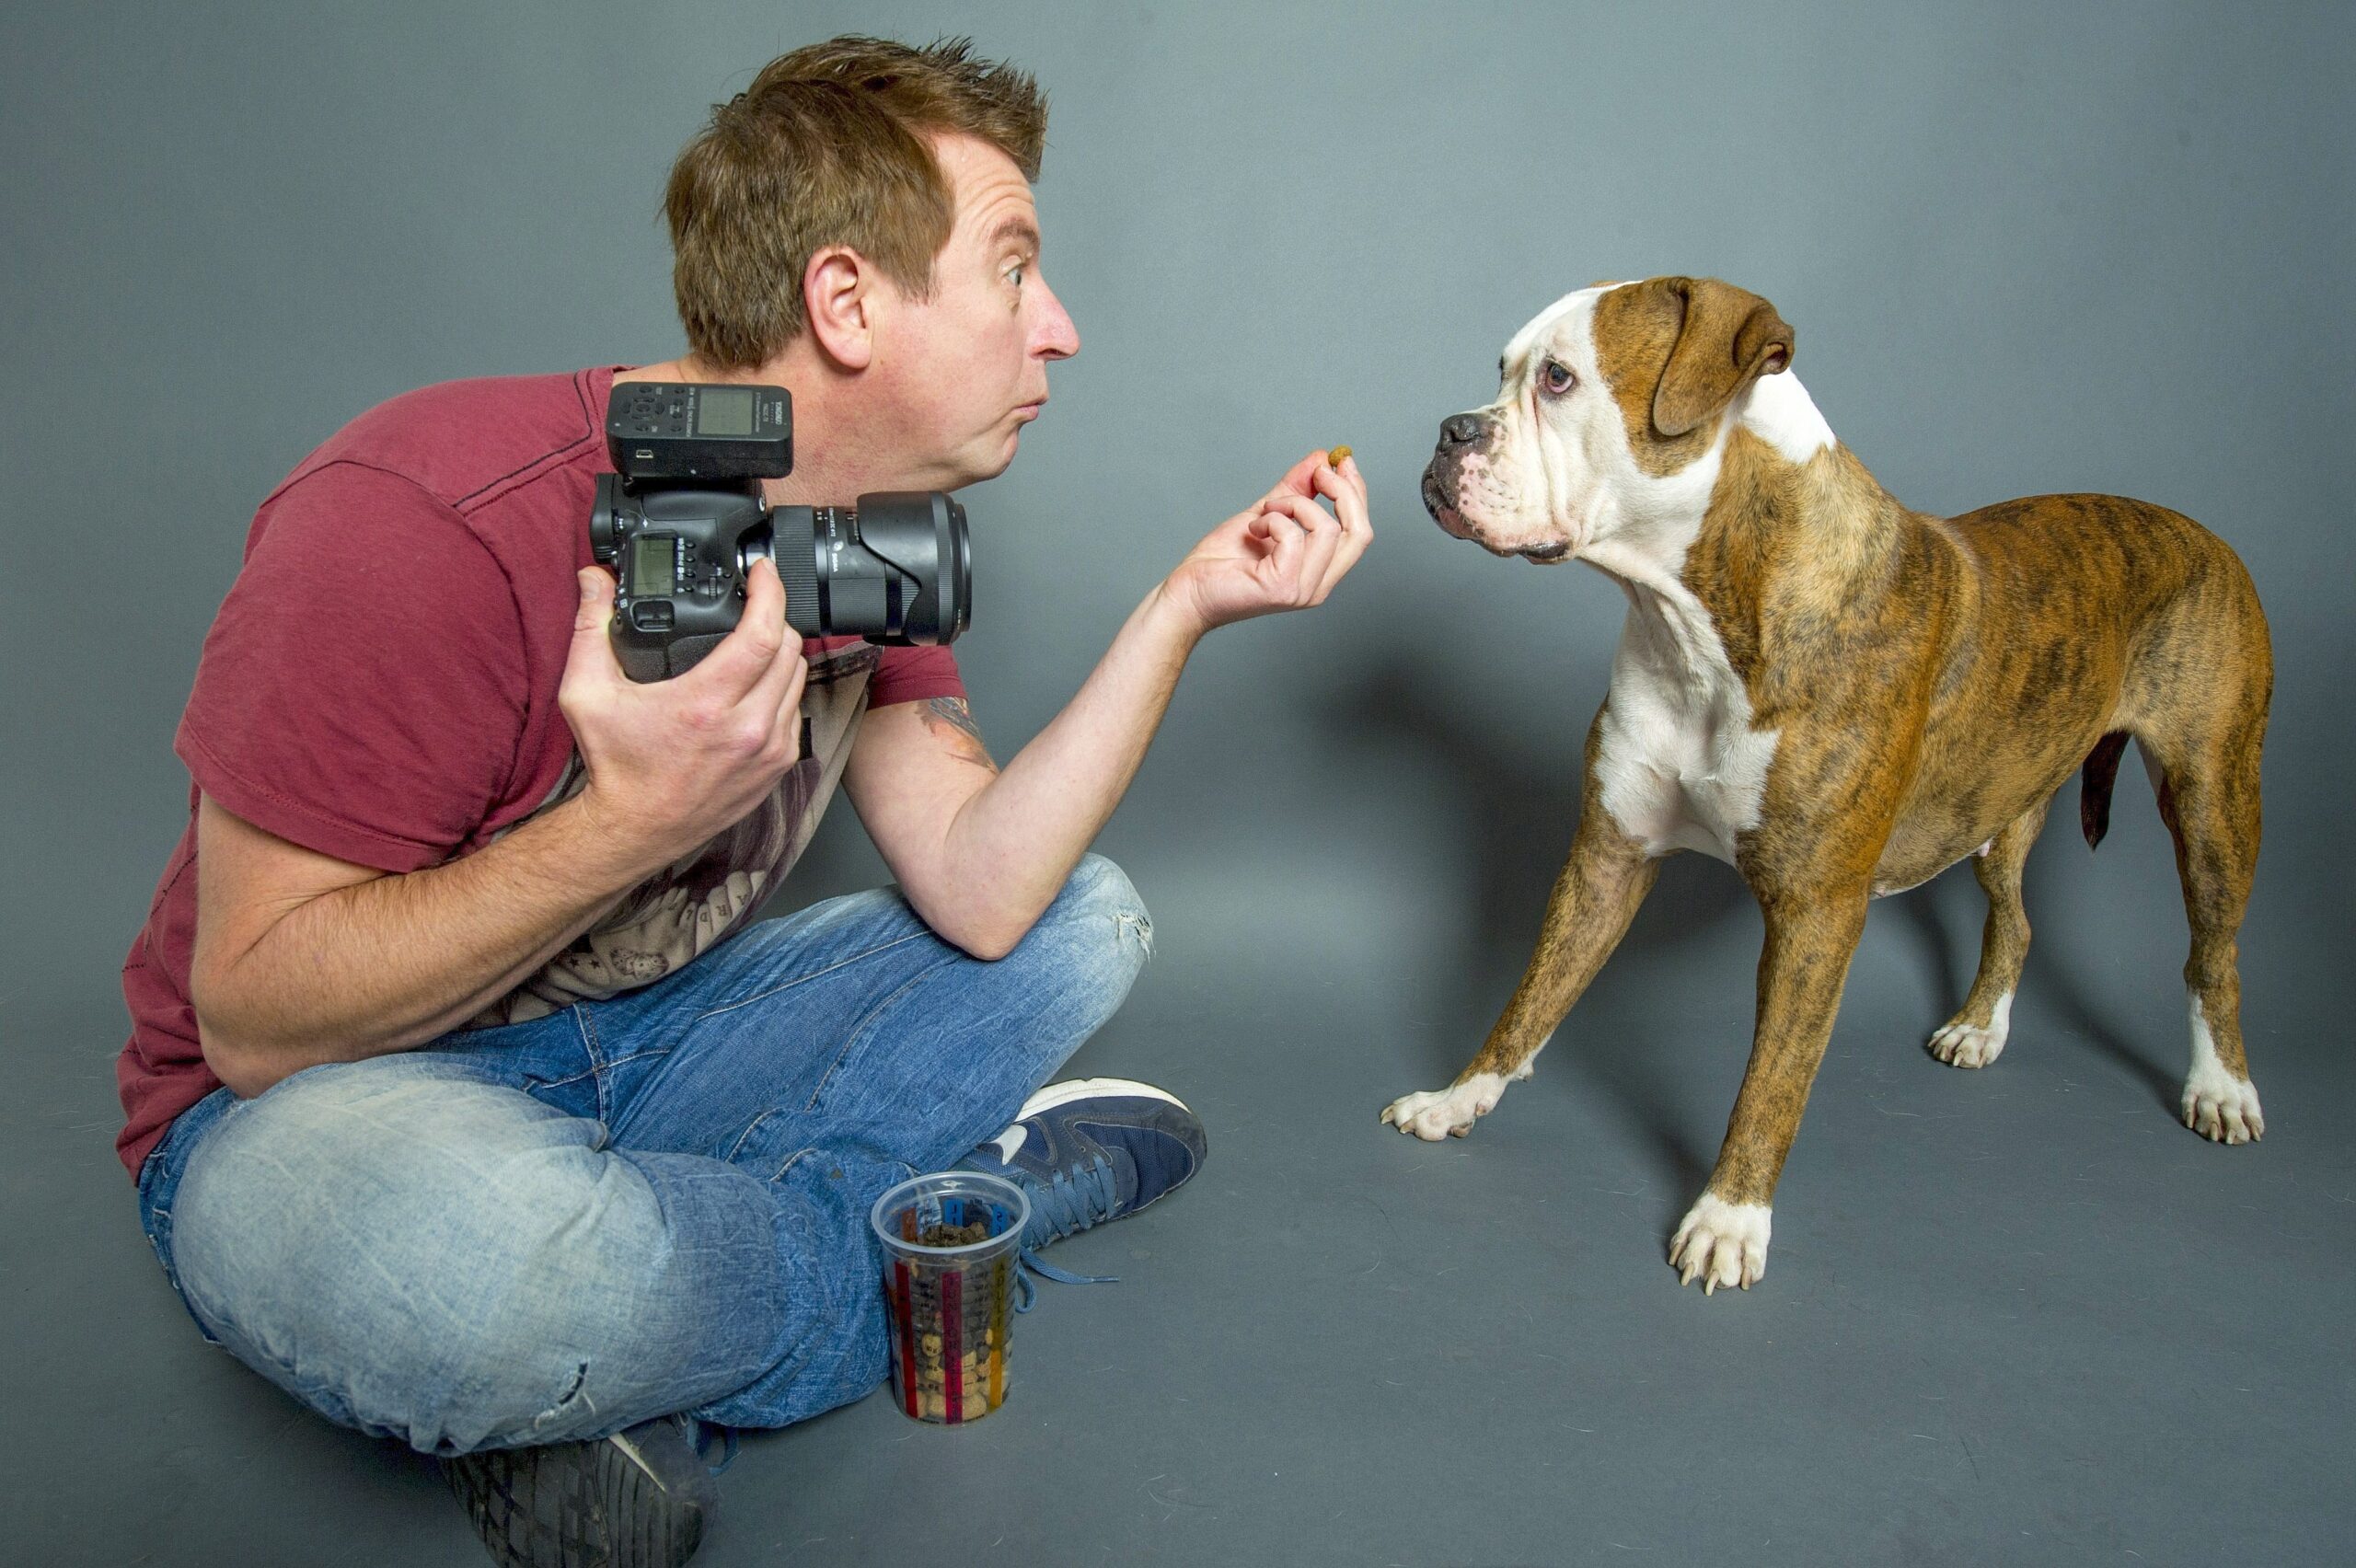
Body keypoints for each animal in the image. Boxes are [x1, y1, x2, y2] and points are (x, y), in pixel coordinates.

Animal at [1385, 277, 2270, 1290]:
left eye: (1560, 380)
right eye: (1503, 373)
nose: (1451, 430)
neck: (1696, 616)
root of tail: (2199, 529)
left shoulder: (1816, 914)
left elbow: (1774, 1075)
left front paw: (1729, 1220)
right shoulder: (1607, 859)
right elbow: (1531, 998)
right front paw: (1459, 1099)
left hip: (2213, 800)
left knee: (2212, 954)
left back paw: (2221, 1087)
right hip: (2004, 801)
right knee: (2014, 916)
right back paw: (1981, 1027)